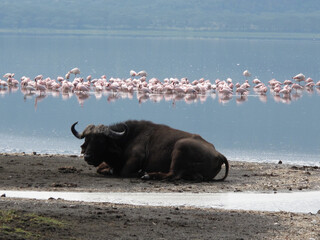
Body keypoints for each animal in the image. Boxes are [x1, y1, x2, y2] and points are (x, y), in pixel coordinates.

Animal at [71, 121, 229, 181]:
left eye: (100, 140)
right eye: (88, 139)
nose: (87, 156)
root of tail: (219, 154)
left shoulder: (136, 159)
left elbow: (123, 172)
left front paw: (140, 172)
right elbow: (102, 168)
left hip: (180, 147)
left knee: (173, 175)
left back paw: (147, 175)